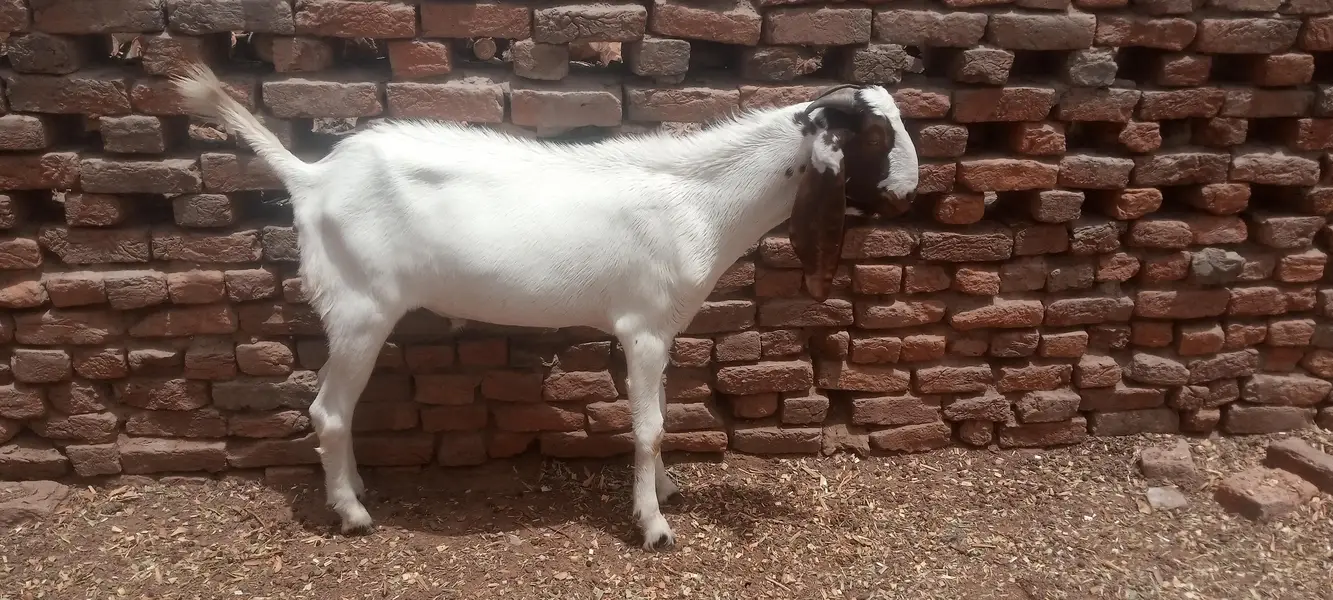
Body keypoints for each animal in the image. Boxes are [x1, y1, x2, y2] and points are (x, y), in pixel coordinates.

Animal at [172, 64, 919, 550]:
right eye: (877, 138)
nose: (909, 193)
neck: (699, 201)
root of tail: (314, 178)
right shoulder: (643, 328)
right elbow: (649, 426)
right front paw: (654, 525)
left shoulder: (658, 331)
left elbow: (658, 415)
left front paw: (666, 491)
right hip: (359, 307)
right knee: (329, 409)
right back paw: (352, 515)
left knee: (335, 408)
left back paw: (355, 488)